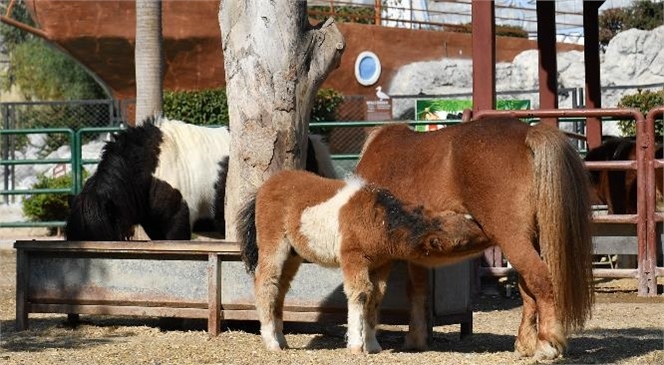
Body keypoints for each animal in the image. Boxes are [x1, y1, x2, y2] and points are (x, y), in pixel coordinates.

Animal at [236, 170, 490, 352]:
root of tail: (263, 187)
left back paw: (282, 340)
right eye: (463, 241)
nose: (487, 232)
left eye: (465, 218)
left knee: (280, 289)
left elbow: (375, 297)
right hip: (274, 245)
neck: (381, 221)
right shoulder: (353, 257)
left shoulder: (381, 263)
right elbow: (359, 293)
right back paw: (271, 343)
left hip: (292, 255)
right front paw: (357, 346)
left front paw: (373, 345)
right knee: (266, 283)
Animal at [356, 116, 592, 358]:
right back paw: (525, 344)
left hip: (513, 240)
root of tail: (528, 133)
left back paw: (545, 344)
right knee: (527, 289)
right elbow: (417, 289)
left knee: (540, 279)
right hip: (529, 240)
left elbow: (377, 293)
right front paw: (416, 338)